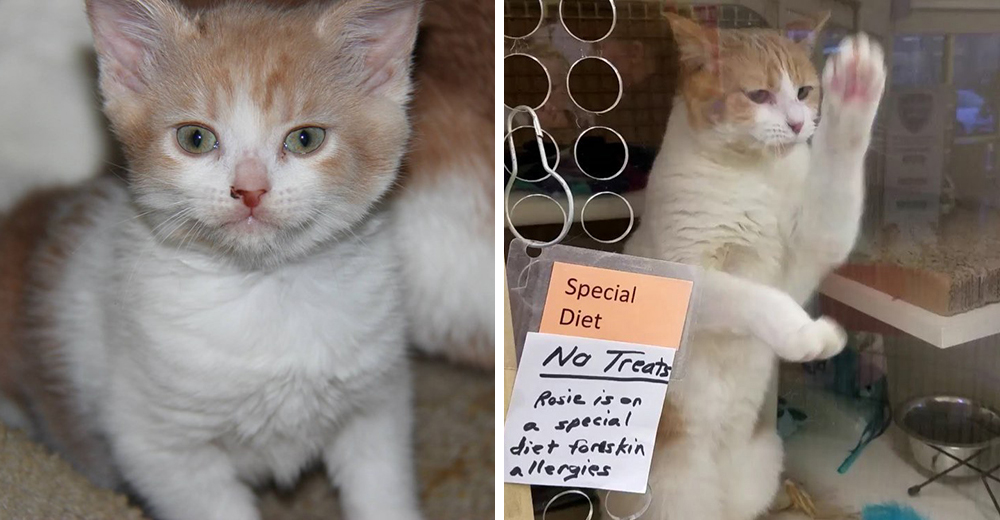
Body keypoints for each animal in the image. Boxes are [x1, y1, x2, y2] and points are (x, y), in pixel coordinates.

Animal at [0, 1, 422, 520]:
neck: (268, 289)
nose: (250, 189)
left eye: (306, 139)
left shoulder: (376, 405)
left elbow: (383, 489)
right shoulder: (158, 445)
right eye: (195, 139)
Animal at [608, 14, 884, 520]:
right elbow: (756, 296)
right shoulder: (690, 279)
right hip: (673, 496)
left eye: (805, 92)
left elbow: (833, 196)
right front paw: (806, 334)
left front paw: (855, 89)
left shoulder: (811, 247)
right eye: (759, 96)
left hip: (758, 472)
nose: (797, 123)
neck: (754, 175)